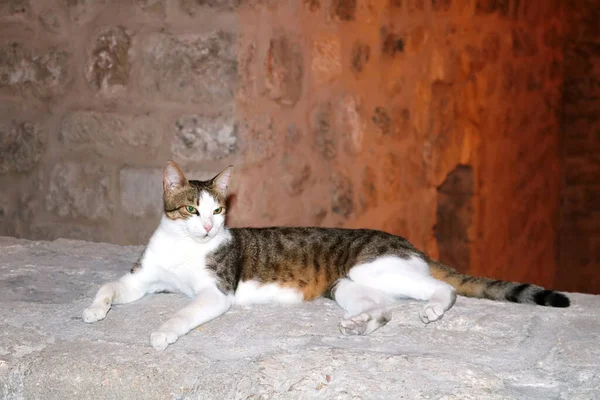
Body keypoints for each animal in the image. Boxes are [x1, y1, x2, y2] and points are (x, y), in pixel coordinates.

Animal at [82, 159, 568, 350]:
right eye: (190, 210)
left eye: (217, 211)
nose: (208, 227)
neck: (187, 247)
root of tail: (411, 245)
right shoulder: (141, 278)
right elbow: (109, 286)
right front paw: (93, 310)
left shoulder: (215, 292)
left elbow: (182, 313)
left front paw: (163, 333)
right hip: (347, 287)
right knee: (385, 311)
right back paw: (359, 325)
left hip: (380, 268)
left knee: (442, 290)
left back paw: (431, 310)